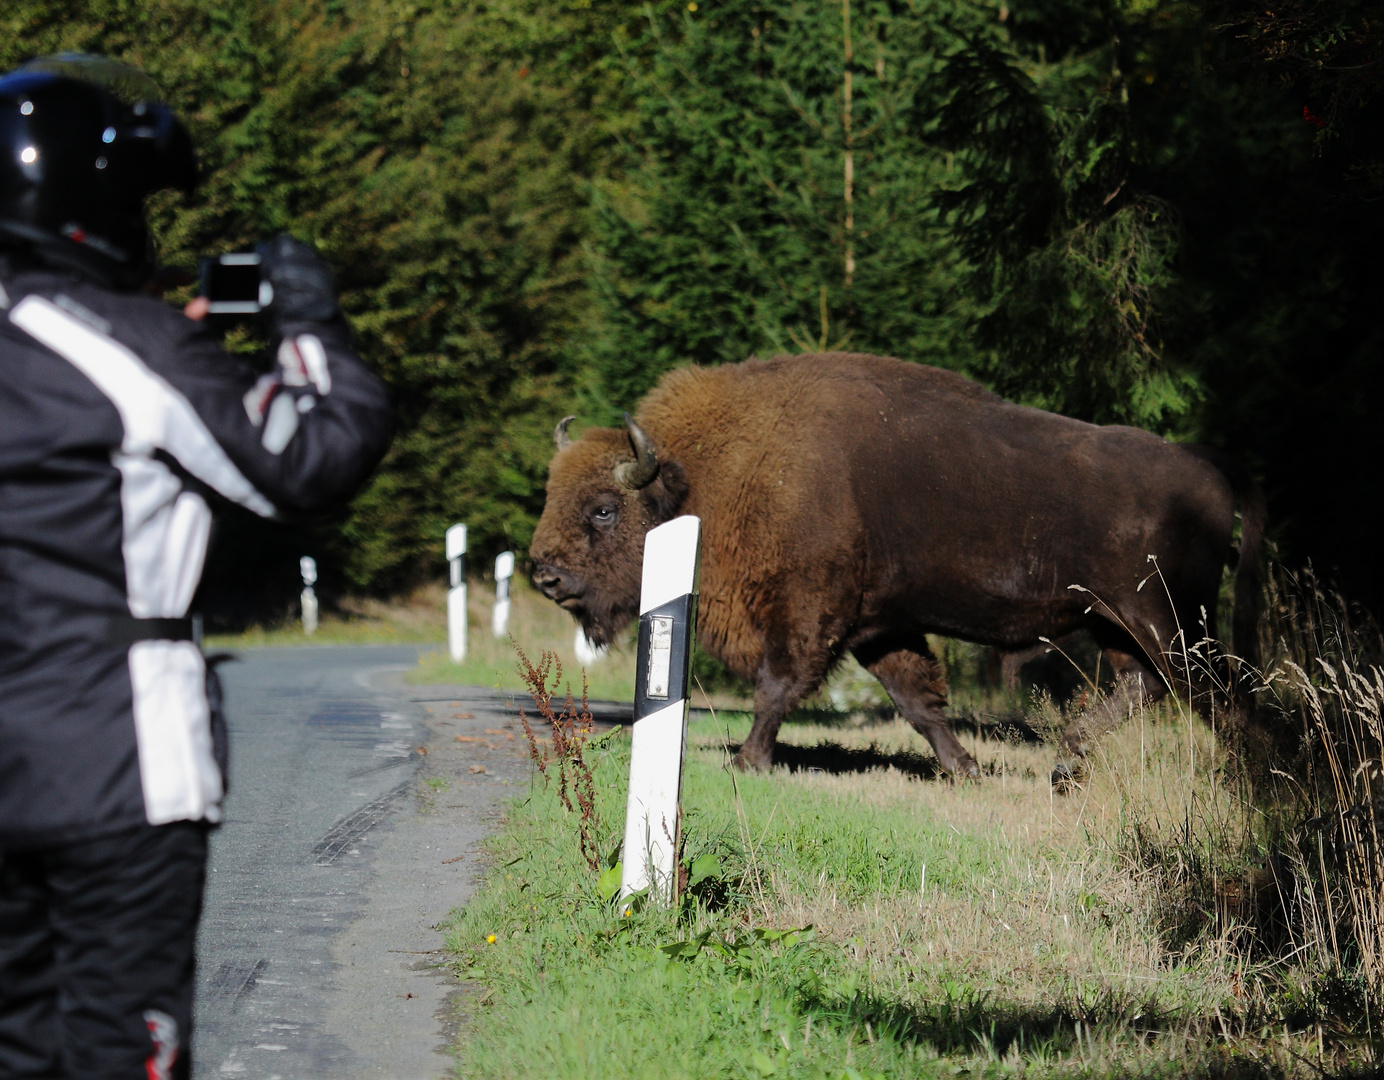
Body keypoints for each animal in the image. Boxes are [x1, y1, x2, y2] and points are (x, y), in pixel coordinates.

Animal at [523, 351, 1262, 775]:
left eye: (603, 509)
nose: (544, 574)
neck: (710, 474)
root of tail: (1212, 473)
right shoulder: (879, 627)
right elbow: (918, 701)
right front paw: (965, 770)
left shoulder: (808, 616)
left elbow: (777, 687)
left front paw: (748, 762)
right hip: (1117, 624)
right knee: (1147, 687)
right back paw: (1064, 765)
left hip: (1166, 620)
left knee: (1216, 695)